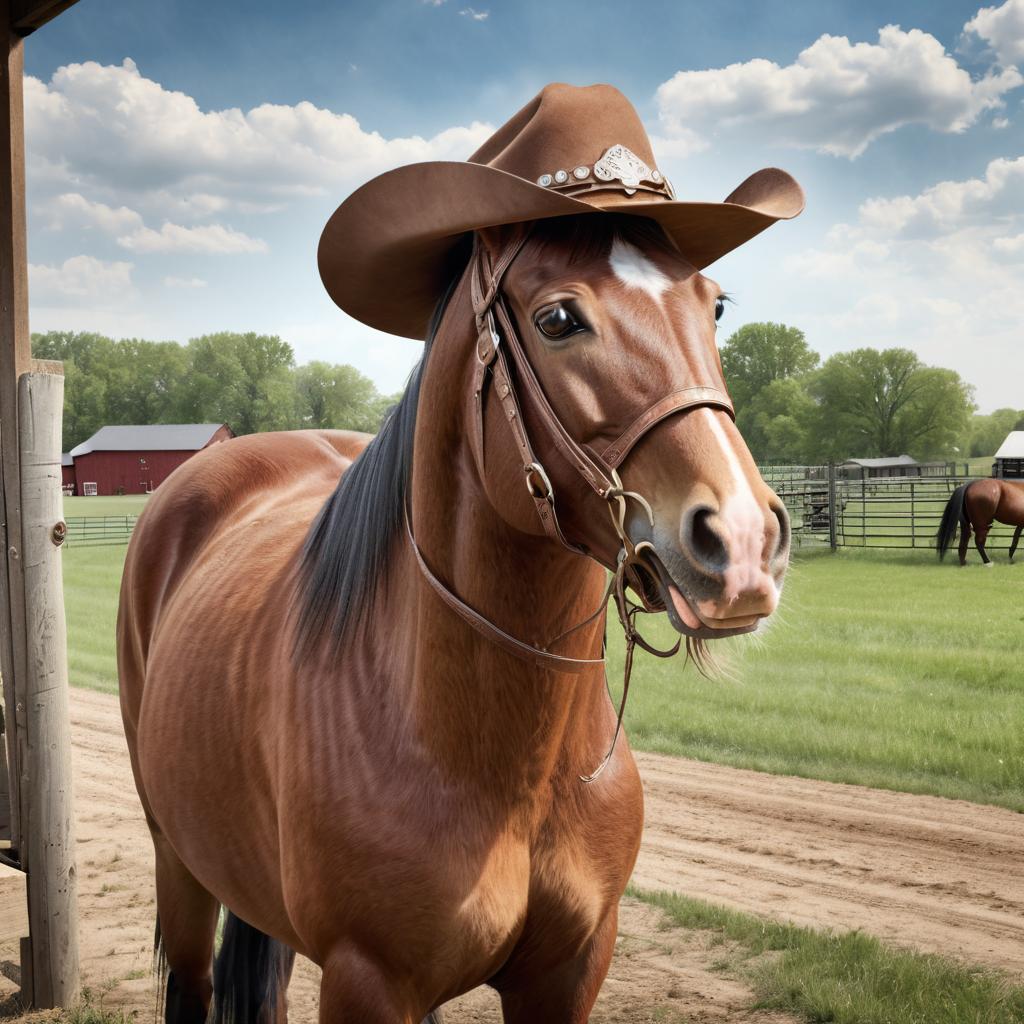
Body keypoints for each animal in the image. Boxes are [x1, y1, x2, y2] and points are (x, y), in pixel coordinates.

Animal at [119, 211, 790, 1019]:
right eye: (557, 320)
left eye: (713, 305)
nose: (744, 541)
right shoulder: (367, 980)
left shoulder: (570, 971)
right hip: (178, 862)